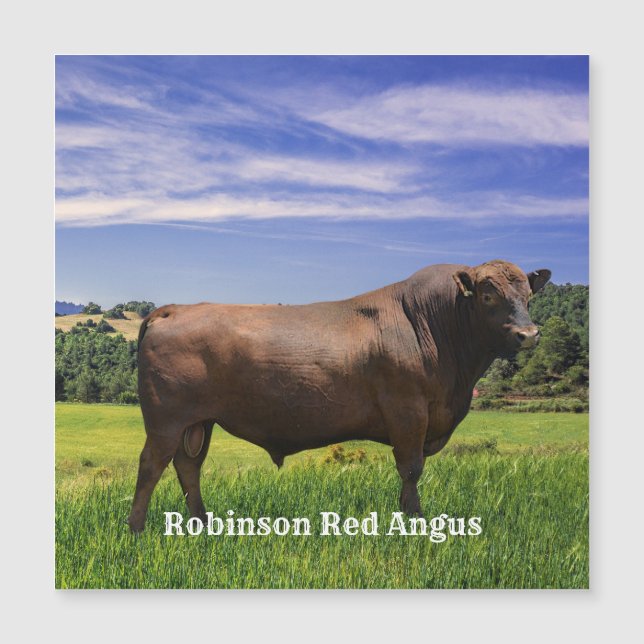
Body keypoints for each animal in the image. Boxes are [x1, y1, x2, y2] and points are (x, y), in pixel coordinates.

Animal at [127, 259, 550, 532]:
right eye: (488, 296)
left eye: (528, 296)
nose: (528, 335)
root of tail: (174, 309)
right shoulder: (409, 412)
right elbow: (411, 468)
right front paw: (414, 522)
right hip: (166, 419)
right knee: (151, 465)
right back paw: (137, 529)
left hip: (199, 421)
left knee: (188, 467)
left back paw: (201, 524)